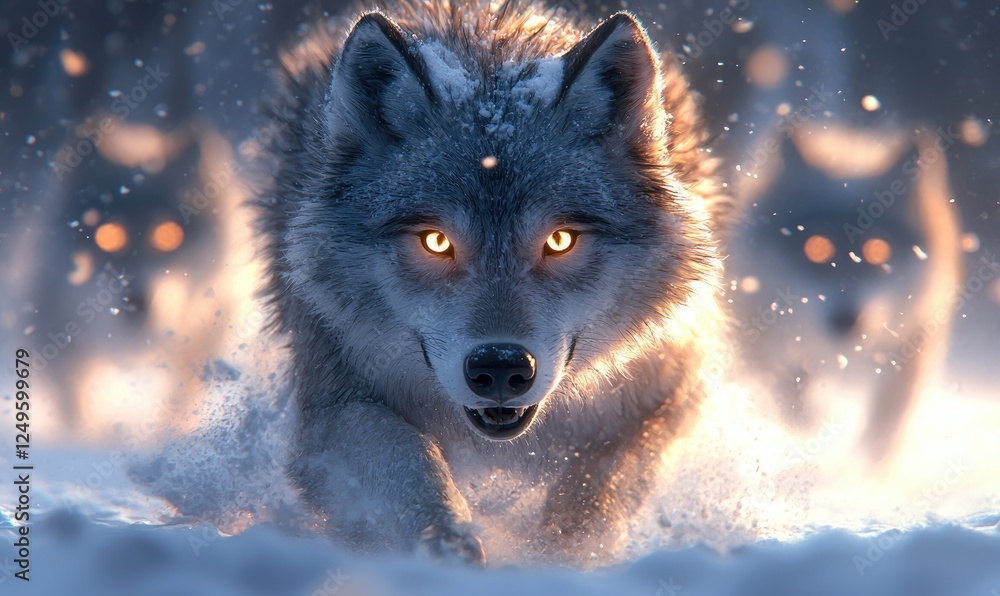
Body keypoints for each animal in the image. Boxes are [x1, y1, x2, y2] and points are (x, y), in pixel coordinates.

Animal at [254, 0, 727, 564]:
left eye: (560, 240)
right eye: (436, 242)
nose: (500, 367)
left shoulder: (664, 396)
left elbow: (597, 490)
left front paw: (556, 557)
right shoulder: (335, 408)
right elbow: (411, 465)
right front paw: (446, 547)